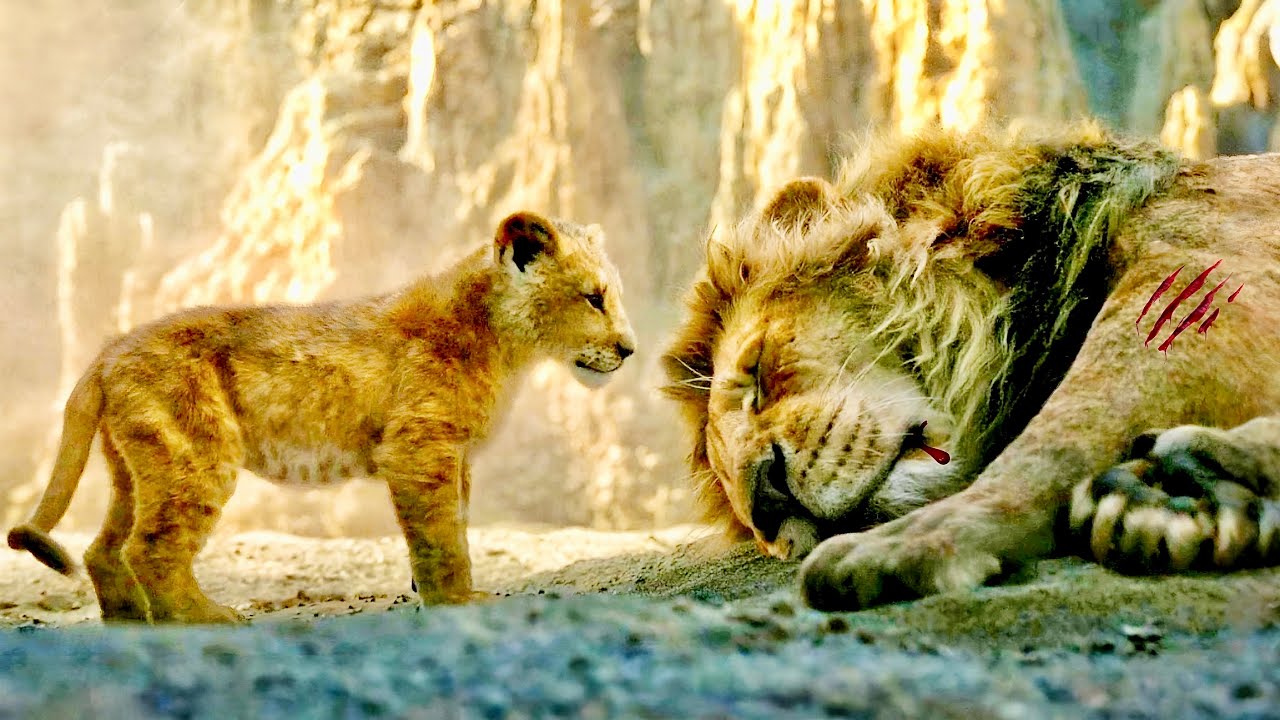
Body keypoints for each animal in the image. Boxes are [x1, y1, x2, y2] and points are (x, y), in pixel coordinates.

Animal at [8, 211, 637, 623]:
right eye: (595, 297)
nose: (630, 349)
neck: (506, 343)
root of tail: (109, 349)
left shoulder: (453, 454)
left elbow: (455, 523)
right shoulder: (420, 446)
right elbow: (442, 537)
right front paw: (455, 602)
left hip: (138, 466)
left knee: (103, 548)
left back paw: (128, 621)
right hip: (196, 456)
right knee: (150, 547)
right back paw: (204, 618)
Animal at [662, 121, 1280, 611]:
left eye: (759, 372)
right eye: (748, 520)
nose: (767, 504)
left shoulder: (1198, 276)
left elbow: (1061, 432)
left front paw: (903, 545)